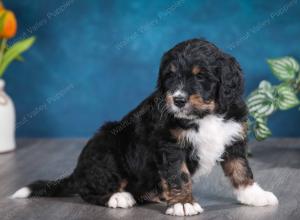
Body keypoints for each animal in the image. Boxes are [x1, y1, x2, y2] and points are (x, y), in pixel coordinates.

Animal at [11, 38, 278, 216]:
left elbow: (241, 169)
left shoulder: (233, 137)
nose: (178, 99)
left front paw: (254, 195)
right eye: (170, 76)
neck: (205, 115)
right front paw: (183, 203)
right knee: (90, 190)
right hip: (106, 147)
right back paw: (119, 197)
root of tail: (78, 171)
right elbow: (179, 174)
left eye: (200, 76)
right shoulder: (170, 145)